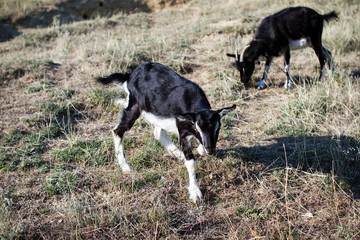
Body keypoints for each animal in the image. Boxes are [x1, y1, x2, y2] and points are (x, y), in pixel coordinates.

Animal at [96, 62, 236, 202]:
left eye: (218, 127)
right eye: (197, 128)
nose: (210, 150)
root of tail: (130, 76)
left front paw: (199, 151)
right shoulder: (182, 131)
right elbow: (191, 163)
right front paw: (195, 193)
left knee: (158, 133)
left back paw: (178, 154)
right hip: (134, 106)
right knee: (118, 130)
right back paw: (125, 166)